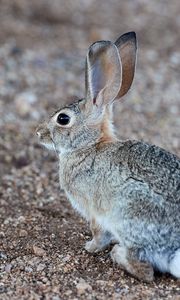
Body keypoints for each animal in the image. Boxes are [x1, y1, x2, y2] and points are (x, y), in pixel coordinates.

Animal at [36, 31, 180, 282]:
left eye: (63, 119)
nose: (38, 132)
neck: (90, 145)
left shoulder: (93, 209)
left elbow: (97, 233)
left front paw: (90, 247)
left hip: (128, 213)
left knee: (145, 270)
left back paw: (118, 253)